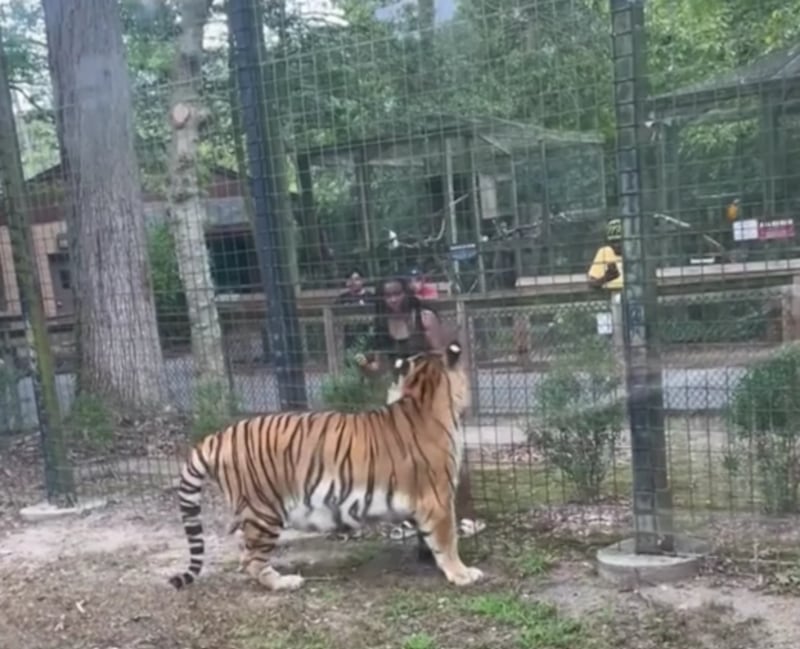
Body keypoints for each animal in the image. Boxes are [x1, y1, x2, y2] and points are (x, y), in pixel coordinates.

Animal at [168, 342, 482, 588]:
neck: (422, 395)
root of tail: (218, 436)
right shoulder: (438, 498)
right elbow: (447, 540)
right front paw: (462, 574)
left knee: (243, 552)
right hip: (263, 511)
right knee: (254, 560)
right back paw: (285, 582)